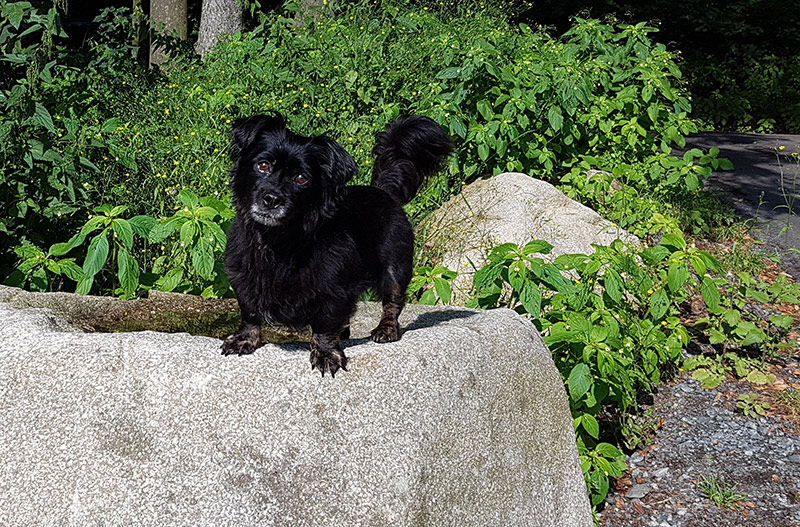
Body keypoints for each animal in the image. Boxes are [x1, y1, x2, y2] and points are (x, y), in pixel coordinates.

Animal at [220, 113, 452, 376]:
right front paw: (244, 339)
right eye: (263, 165)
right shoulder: (243, 279)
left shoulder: (334, 290)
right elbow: (249, 313)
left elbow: (325, 325)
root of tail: (383, 192)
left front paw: (325, 353)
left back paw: (386, 329)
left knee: (393, 303)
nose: (271, 198)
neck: (280, 240)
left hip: (396, 269)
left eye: (301, 179)